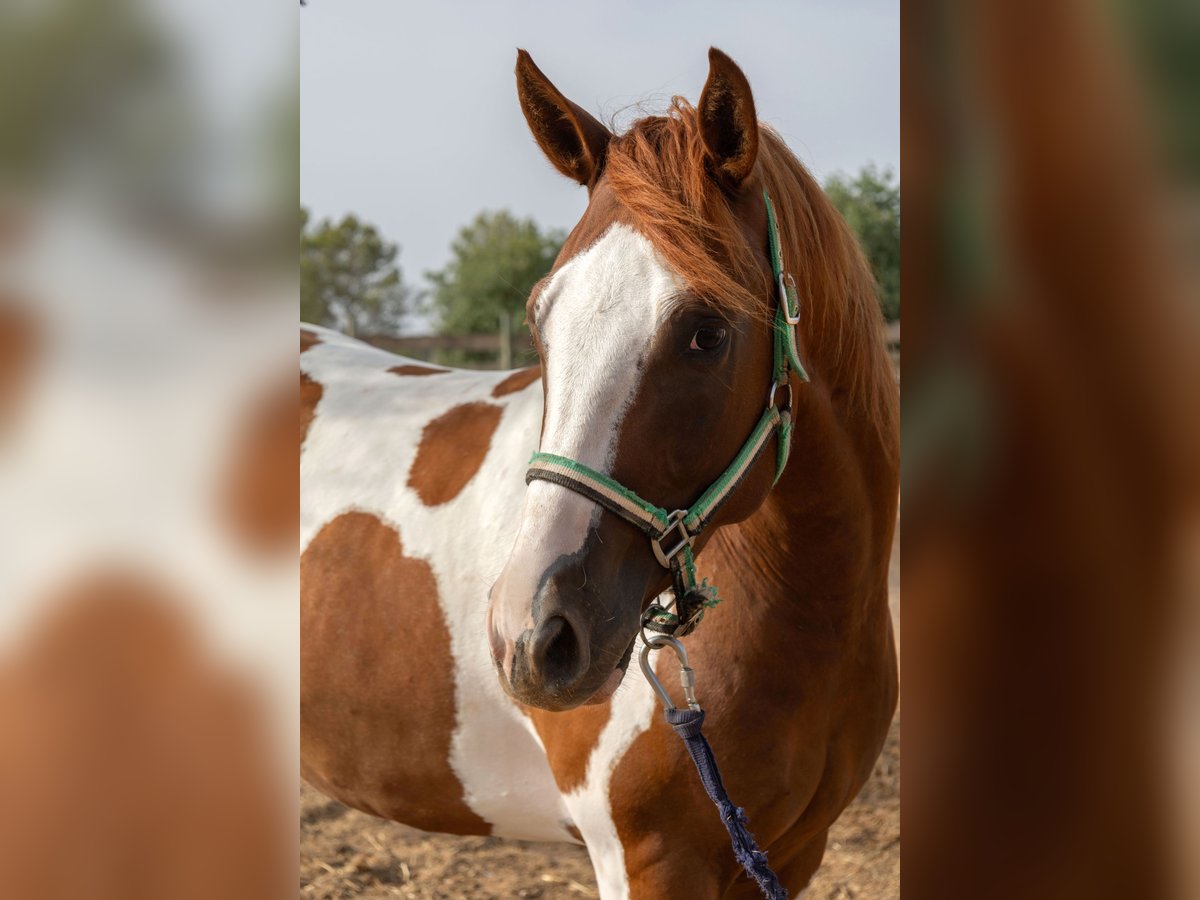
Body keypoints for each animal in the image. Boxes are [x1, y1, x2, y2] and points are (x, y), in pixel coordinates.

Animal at [300, 48, 898, 899]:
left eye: (707, 332)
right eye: (539, 319)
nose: (529, 636)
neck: (808, 618)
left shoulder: (791, 855)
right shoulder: (648, 860)